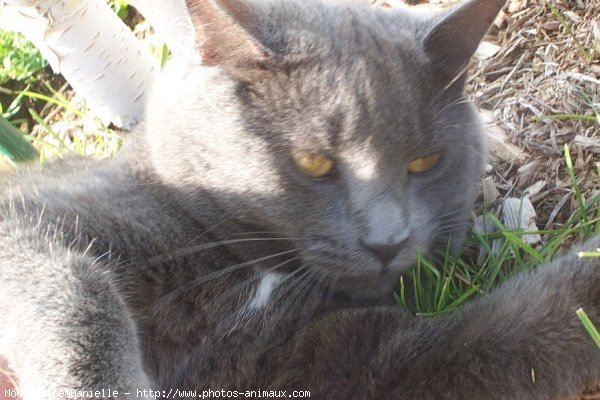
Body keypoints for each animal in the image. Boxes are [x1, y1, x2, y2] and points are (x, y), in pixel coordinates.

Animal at [1, 0, 600, 398]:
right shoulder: (34, 216)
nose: (388, 240)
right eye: (313, 162)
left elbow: (498, 338)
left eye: (424, 162)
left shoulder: (337, 357)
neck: (257, 268)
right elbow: (74, 290)